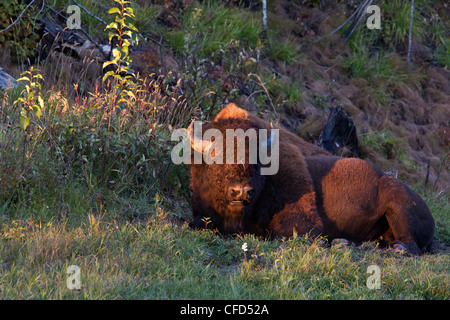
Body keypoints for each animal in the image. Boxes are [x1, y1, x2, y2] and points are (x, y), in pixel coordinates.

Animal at [185, 103, 432, 255]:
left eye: (256, 163)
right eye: (216, 158)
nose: (241, 191)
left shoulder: (303, 222)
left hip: (398, 207)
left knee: (410, 246)